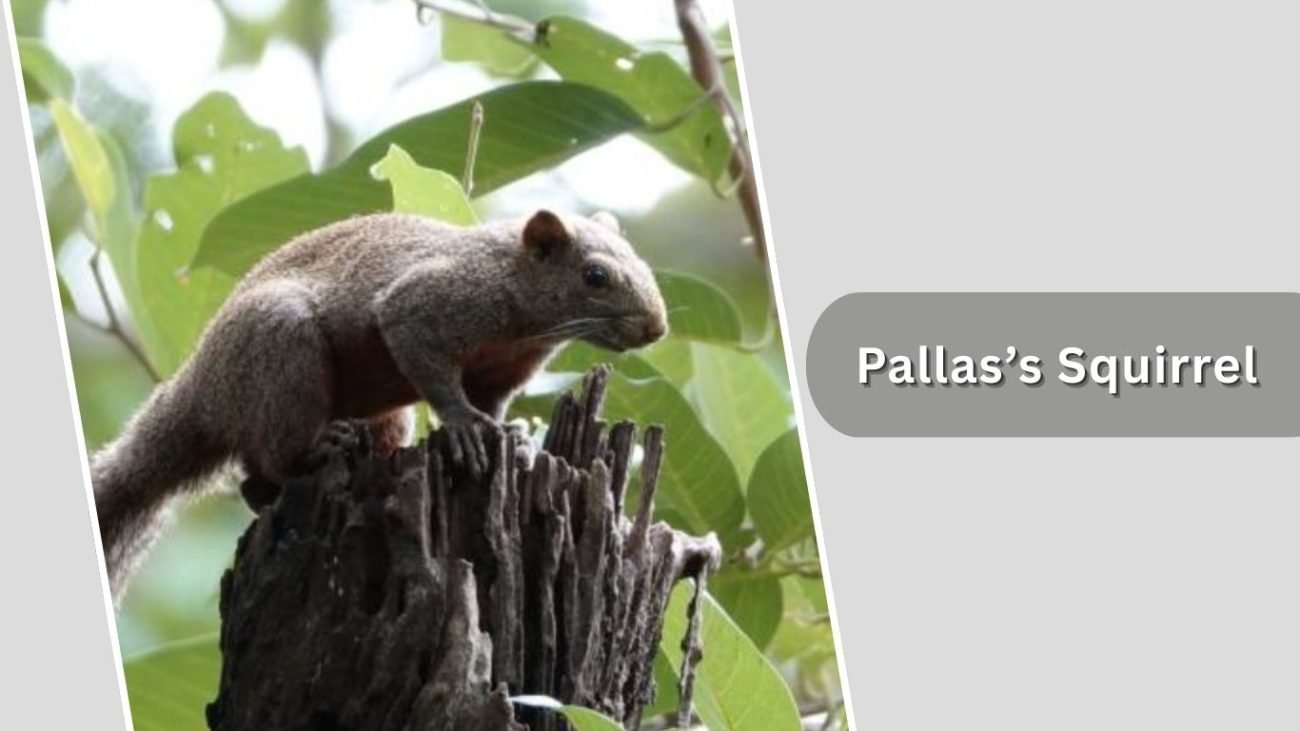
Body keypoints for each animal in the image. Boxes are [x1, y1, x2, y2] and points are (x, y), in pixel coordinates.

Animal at [92, 209, 668, 603]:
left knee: (254, 478)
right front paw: (464, 428)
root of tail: (198, 389)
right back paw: (318, 448)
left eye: (643, 262)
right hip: (279, 345)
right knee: (276, 452)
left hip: (384, 415)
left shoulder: (501, 374)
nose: (657, 327)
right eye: (595, 276)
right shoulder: (428, 304)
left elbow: (494, 404)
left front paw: (516, 440)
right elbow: (431, 365)